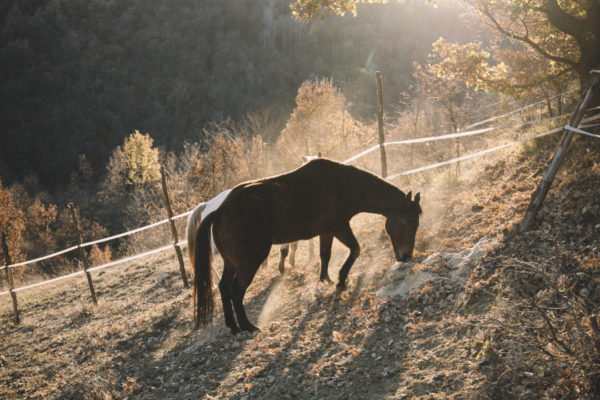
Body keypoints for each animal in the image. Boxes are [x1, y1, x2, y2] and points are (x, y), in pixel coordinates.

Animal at [192, 158, 422, 332]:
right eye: (407, 223)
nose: (405, 255)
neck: (342, 184)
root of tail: (220, 211)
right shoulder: (340, 227)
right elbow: (355, 250)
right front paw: (341, 280)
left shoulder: (327, 231)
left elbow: (325, 255)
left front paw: (326, 280)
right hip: (249, 263)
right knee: (236, 291)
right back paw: (248, 326)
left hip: (232, 263)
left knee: (224, 288)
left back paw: (233, 326)